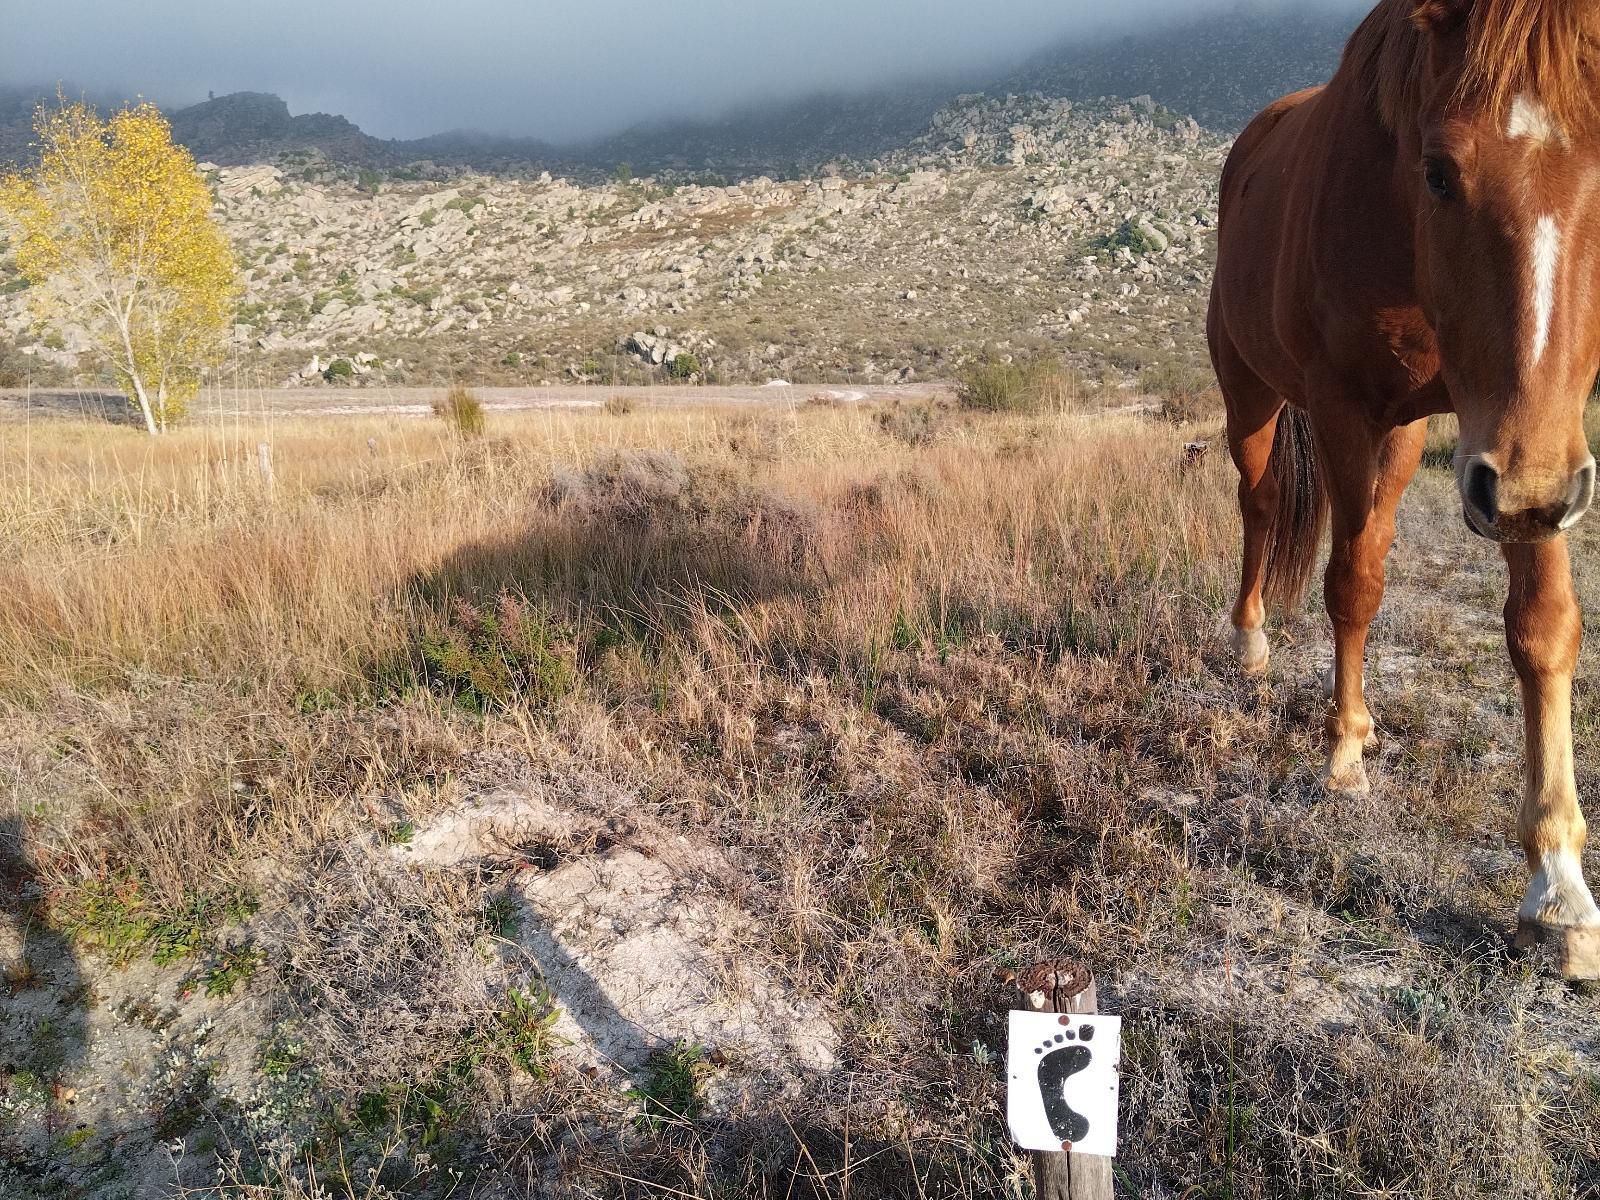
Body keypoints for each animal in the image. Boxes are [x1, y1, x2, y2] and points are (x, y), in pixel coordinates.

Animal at [1209, 0, 1600, 979]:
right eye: (1439, 171)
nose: (1527, 495)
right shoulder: (1352, 411)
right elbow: (1350, 584)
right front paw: (1342, 751)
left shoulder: (1530, 438)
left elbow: (1543, 627)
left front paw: (1559, 888)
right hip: (1252, 395)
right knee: (1262, 506)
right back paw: (1251, 644)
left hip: (1420, 436)